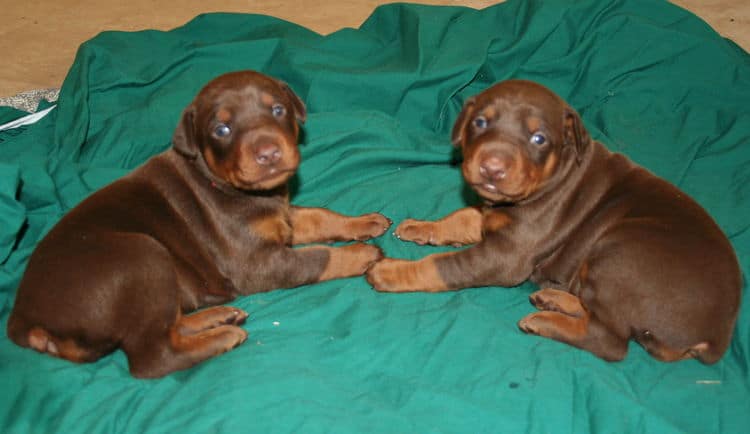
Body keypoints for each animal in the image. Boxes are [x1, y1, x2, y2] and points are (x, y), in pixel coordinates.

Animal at [7, 70, 394, 376]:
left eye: (277, 109)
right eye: (221, 129)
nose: (268, 154)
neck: (229, 187)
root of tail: (24, 322)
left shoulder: (280, 217)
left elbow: (319, 216)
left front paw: (364, 222)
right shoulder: (255, 263)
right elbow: (316, 257)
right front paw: (362, 254)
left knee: (167, 324)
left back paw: (216, 319)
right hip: (143, 255)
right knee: (153, 356)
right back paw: (222, 336)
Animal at [368, 80, 744, 362]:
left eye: (539, 139)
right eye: (480, 122)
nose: (492, 168)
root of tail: (717, 335)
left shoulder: (508, 256)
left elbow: (444, 265)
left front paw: (392, 271)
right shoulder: (494, 216)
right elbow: (462, 217)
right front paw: (420, 226)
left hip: (620, 252)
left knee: (610, 340)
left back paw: (545, 320)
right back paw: (555, 299)